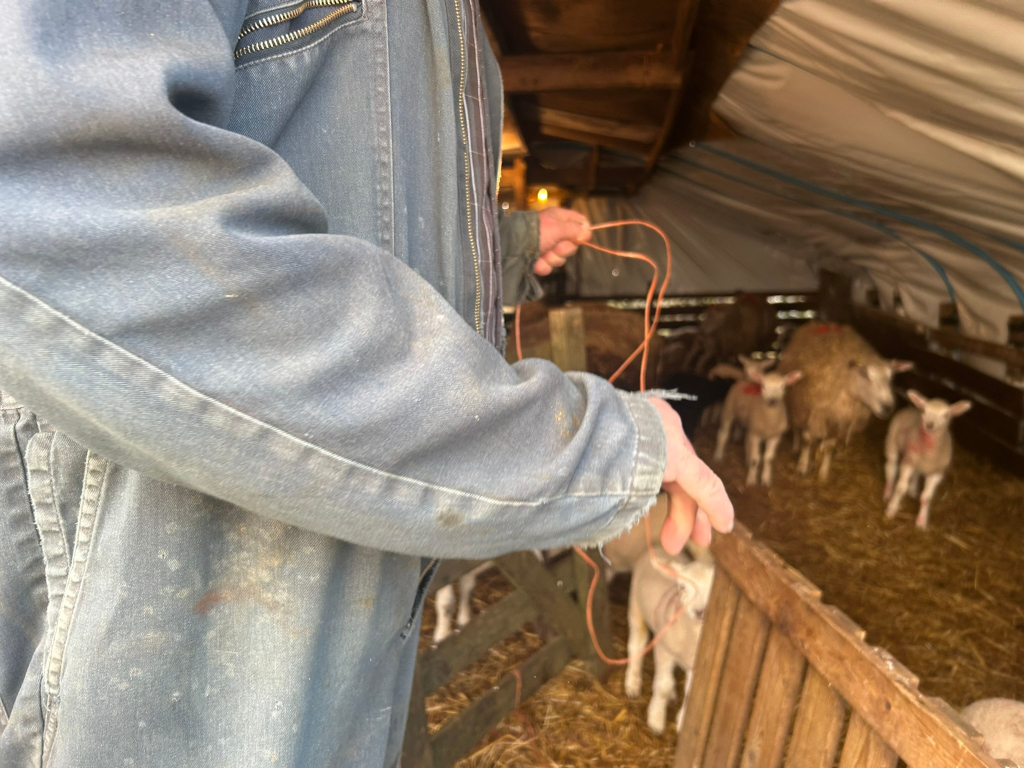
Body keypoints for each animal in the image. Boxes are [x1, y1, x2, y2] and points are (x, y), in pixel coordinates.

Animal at [625, 547, 715, 734]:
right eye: (682, 586)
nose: (700, 612)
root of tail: (658, 547)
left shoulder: (696, 665)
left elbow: (691, 694)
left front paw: (683, 721)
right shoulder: (663, 650)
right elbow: (663, 686)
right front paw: (656, 719)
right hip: (636, 606)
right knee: (637, 644)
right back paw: (632, 683)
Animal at [713, 355, 803, 487]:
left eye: (783, 387)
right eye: (763, 386)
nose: (772, 401)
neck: (770, 421)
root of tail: (745, 380)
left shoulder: (775, 436)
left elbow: (768, 459)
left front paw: (765, 479)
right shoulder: (756, 434)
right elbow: (756, 459)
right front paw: (752, 479)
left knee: (746, 440)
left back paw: (747, 460)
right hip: (729, 410)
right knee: (723, 434)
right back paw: (718, 456)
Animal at [777, 322, 912, 482]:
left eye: (891, 377)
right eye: (864, 373)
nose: (887, 407)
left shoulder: (839, 419)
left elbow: (830, 446)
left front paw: (824, 472)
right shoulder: (811, 408)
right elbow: (807, 439)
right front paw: (802, 466)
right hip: (797, 403)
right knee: (797, 427)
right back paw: (796, 446)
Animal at [884, 390, 972, 529]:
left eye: (946, 415)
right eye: (924, 410)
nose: (929, 425)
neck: (929, 452)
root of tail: (911, 407)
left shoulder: (936, 473)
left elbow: (926, 497)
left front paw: (922, 521)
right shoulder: (908, 463)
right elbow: (900, 488)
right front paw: (892, 509)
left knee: (916, 474)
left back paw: (913, 490)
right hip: (892, 441)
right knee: (891, 467)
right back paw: (888, 491)